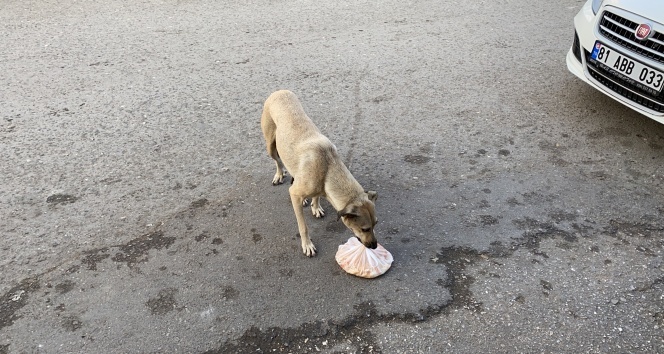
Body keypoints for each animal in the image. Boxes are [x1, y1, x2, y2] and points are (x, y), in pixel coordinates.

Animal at [260, 90, 378, 256]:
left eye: (375, 224)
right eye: (365, 229)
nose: (375, 246)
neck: (329, 166)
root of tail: (279, 91)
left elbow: (316, 196)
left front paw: (315, 206)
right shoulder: (295, 194)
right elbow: (303, 226)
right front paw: (307, 244)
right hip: (270, 145)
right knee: (278, 161)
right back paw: (279, 174)